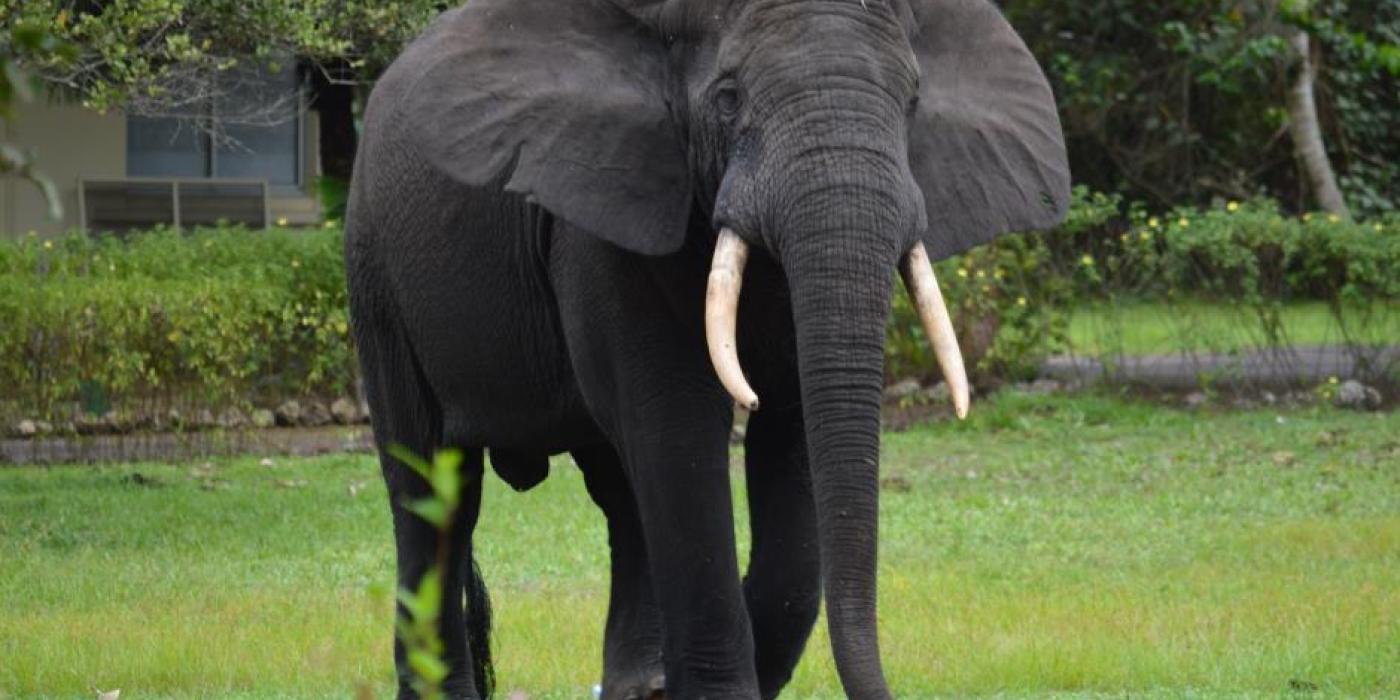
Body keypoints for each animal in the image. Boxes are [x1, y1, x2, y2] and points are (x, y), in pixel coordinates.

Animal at [344, 0, 1064, 697]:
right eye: (727, 98)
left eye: (913, 102)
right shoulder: (609, 207)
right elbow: (678, 426)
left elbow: (791, 432)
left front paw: (694, 677)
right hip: (375, 272)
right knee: (434, 493)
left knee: (618, 491)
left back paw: (638, 685)